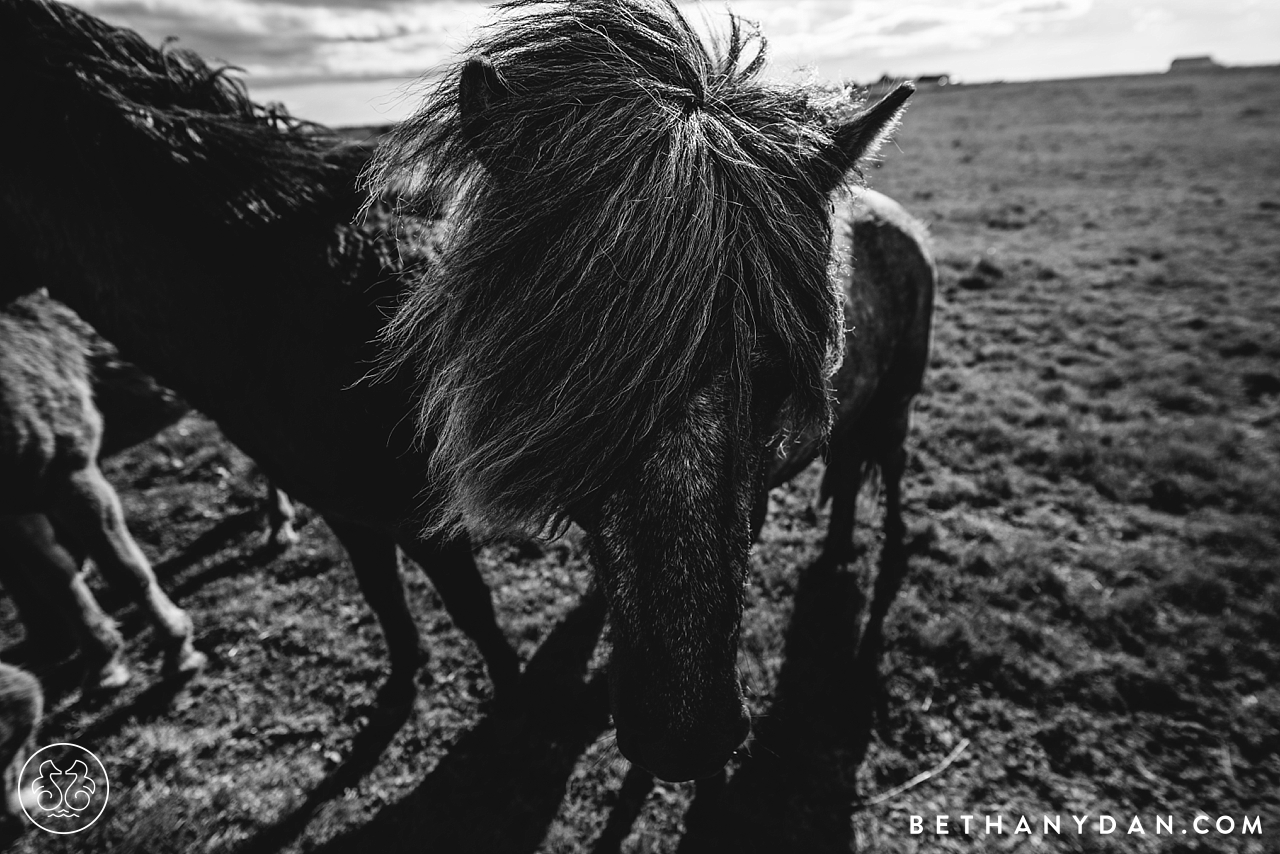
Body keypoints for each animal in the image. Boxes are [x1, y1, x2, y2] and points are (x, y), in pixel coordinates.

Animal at [1, 285, 299, 686]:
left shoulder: (71, 472)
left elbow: (126, 572)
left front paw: (177, 648)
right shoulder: (17, 504)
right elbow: (56, 581)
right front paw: (103, 661)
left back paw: (281, 527)